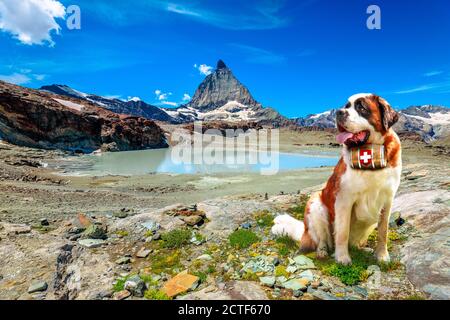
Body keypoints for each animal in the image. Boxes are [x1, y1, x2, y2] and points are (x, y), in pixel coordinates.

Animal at [272, 93, 402, 264]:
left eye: (361, 107)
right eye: (346, 106)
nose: (339, 112)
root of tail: (305, 234)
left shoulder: (387, 200)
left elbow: (383, 231)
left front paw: (382, 256)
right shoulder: (344, 200)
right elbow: (342, 232)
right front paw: (342, 258)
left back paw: (362, 248)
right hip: (316, 205)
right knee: (322, 240)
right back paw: (322, 252)